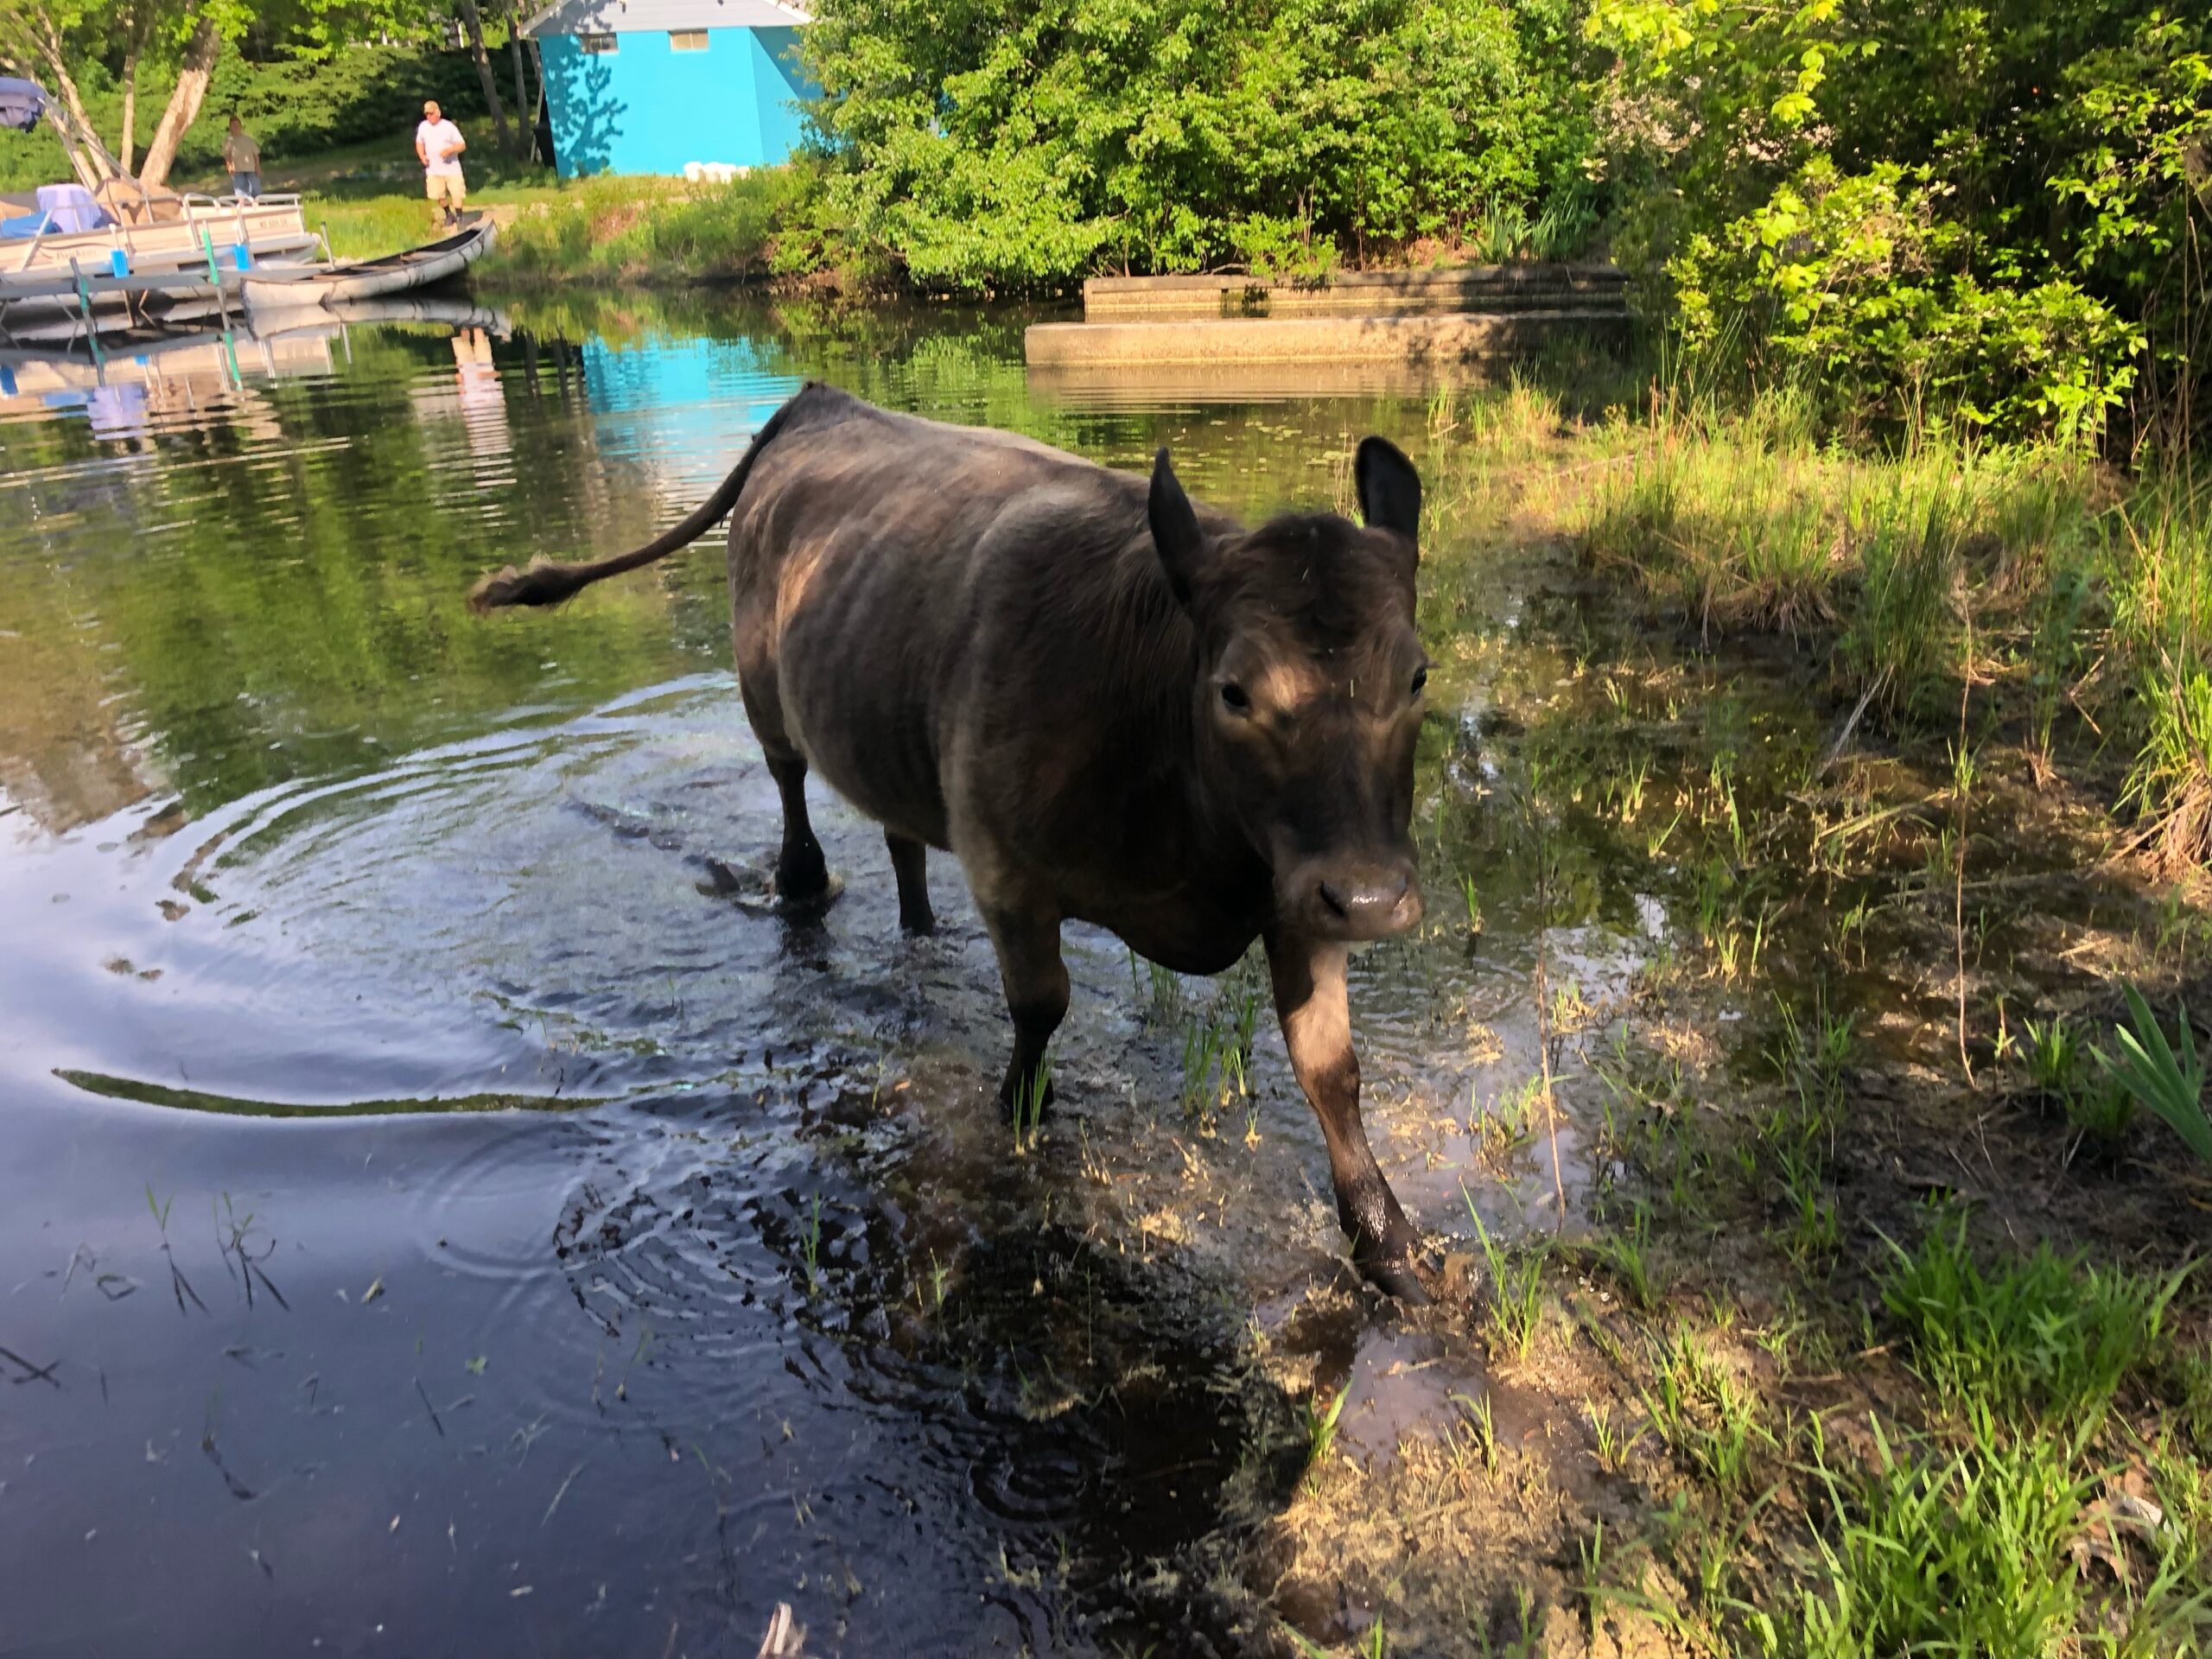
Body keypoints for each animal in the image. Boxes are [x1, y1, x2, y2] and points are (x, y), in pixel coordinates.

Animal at [469, 384, 1432, 1298]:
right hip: (764, 696)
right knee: (791, 799)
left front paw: (1387, 1241)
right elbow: (1040, 1008)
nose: (1373, 898)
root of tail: (819, 402)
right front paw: (1015, 1115)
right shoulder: (1007, 870)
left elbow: (1330, 1067)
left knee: (901, 844)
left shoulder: (1299, 893)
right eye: (1234, 691)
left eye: (1418, 675)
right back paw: (802, 885)